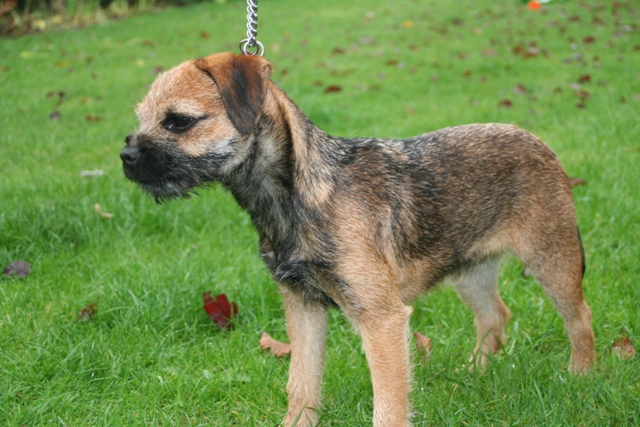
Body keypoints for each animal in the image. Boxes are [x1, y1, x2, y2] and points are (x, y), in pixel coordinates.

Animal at [122, 51, 596, 426]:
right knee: (495, 315)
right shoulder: (304, 308)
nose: (126, 156)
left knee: (579, 317)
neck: (298, 196)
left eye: (178, 121)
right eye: (141, 119)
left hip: (551, 258)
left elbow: (388, 406)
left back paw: (581, 376)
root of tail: (538, 142)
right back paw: (476, 372)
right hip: (468, 268)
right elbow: (301, 385)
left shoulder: (381, 319)